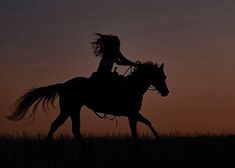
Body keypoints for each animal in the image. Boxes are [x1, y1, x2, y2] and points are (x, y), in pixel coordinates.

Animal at [7, 62, 169, 143]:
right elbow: (136, 131)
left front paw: (159, 139)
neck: (133, 86)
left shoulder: (134, 113)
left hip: (72, 110)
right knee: (61, 126)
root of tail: (63, 85)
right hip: (69, 109)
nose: (166, 92)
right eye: (161, 76)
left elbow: (148, 123)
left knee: (70, 128)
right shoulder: (131, 114)